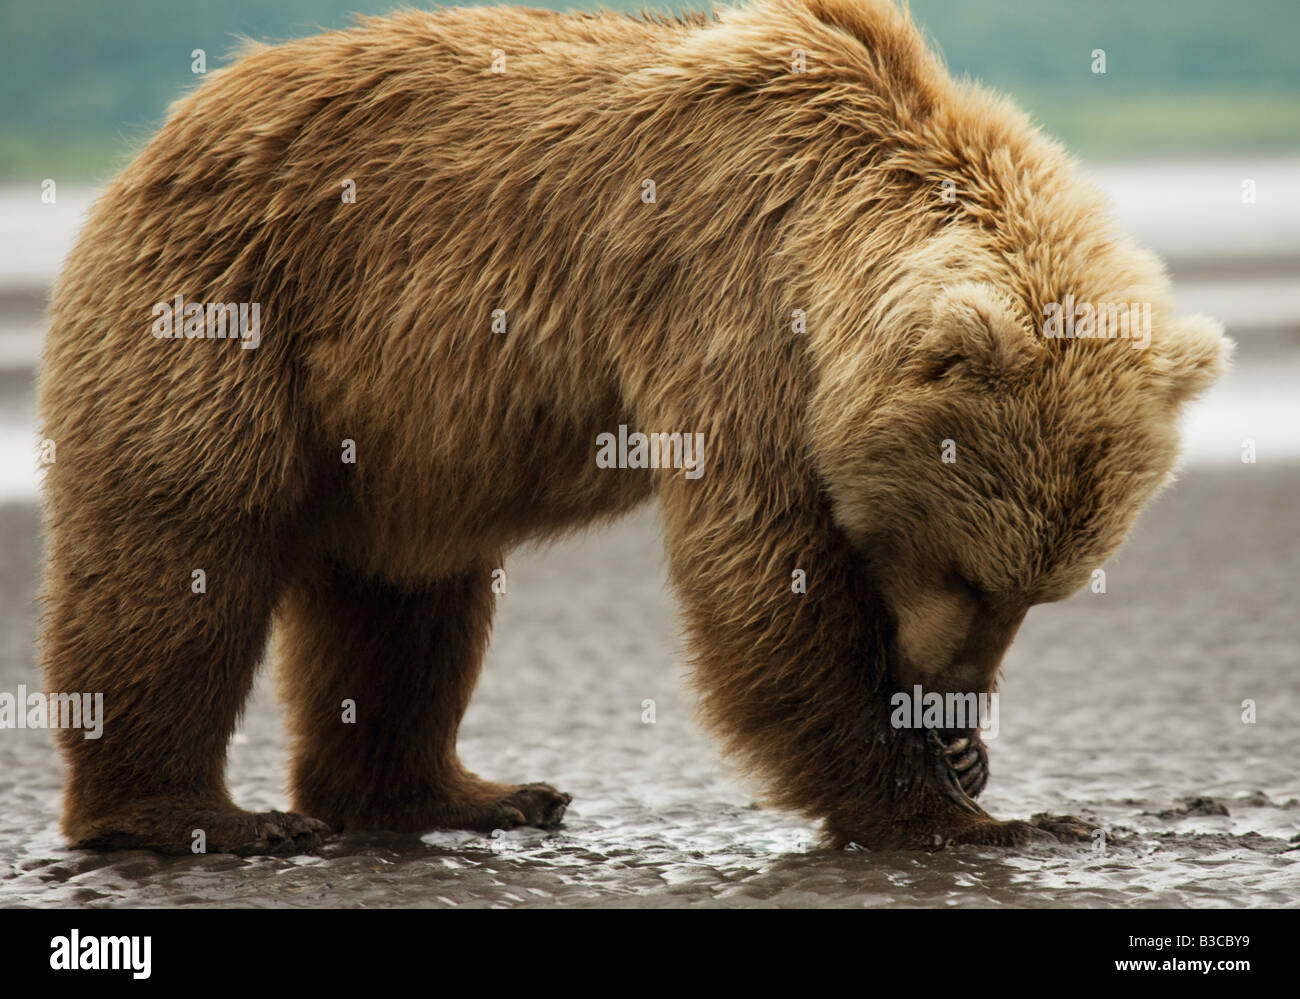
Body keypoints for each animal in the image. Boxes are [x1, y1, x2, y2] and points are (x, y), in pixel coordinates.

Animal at [38, 0, 1227, 853]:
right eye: (966, 570)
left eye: (1043, 589)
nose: (951, 709)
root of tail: (168, 129)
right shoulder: (730, 298)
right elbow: (763, 573)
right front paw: (967, 813)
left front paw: (972, 768)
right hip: (226, 313)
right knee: (182, 548)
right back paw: (200, 818)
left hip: (396, 430)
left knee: (410, 593)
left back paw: (466, 796)